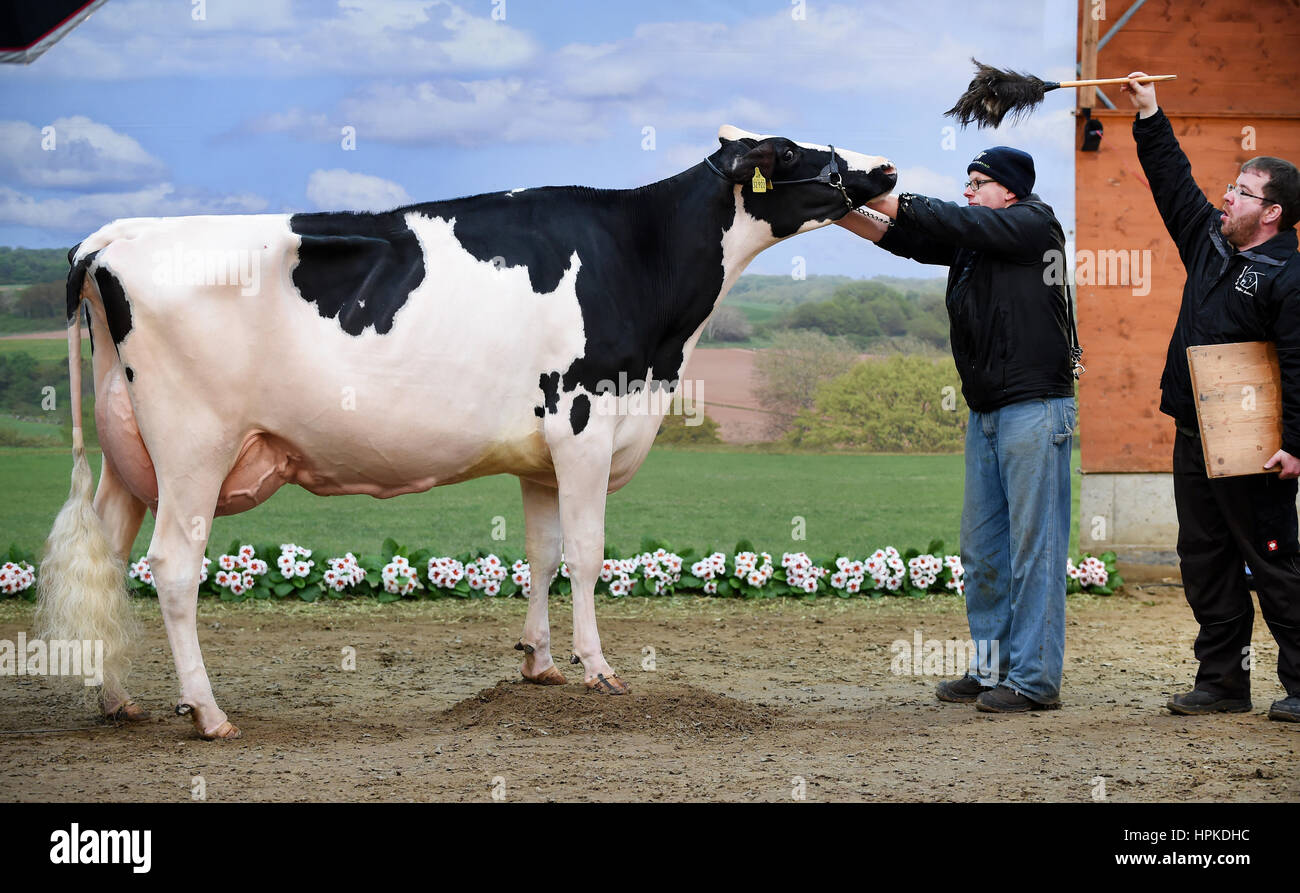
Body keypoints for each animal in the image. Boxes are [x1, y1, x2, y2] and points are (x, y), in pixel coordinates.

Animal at [38, 126, 894, 738]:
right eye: (792, 152)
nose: (885, 170)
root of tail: (114, 237)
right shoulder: (584, 423)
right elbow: (587, 556)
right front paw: (597, 668)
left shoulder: (543, 454)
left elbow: (541, 554)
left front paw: (539, 663)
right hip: (193, 449)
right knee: (171, 567)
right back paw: (208, 712)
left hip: (130, 453)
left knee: (108, 558)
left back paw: (118, 699)